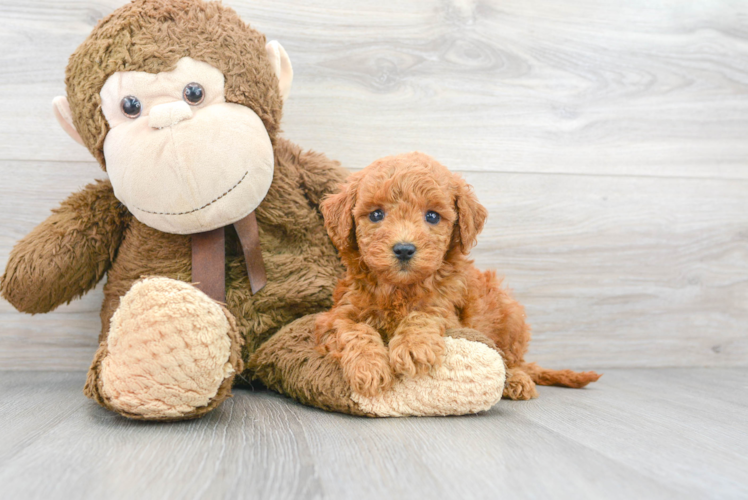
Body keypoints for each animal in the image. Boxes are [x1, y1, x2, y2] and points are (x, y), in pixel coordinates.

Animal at [316, 151, 600, 398]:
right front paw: (369, 368)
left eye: (432, 216)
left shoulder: (450, 314)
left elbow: (424, 314)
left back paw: (517, 381)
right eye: (376, 214)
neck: (399, 289)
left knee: (512, 360)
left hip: (511, 317)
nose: (404, 249)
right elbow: (354, 330)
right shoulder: (336, 315)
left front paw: (413, 346)